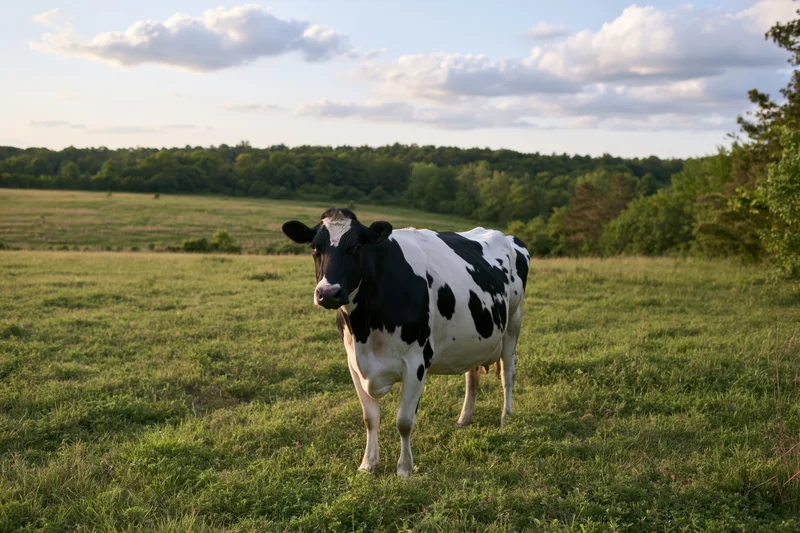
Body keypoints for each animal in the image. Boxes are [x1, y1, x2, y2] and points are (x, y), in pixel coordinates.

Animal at [282, 208, 530, 476]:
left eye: (356, 247)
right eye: (314, 247)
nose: (328, 293)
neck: (364, 330)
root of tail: (507, 236)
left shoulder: (415, 363)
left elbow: (404, 421)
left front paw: (404, 468)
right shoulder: (354, 364)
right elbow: (370, 417)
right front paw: (368, 464)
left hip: (513, 323)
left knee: (507, 372)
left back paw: (506, 417)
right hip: (473, 338)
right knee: (471, 377)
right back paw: (465, 418)